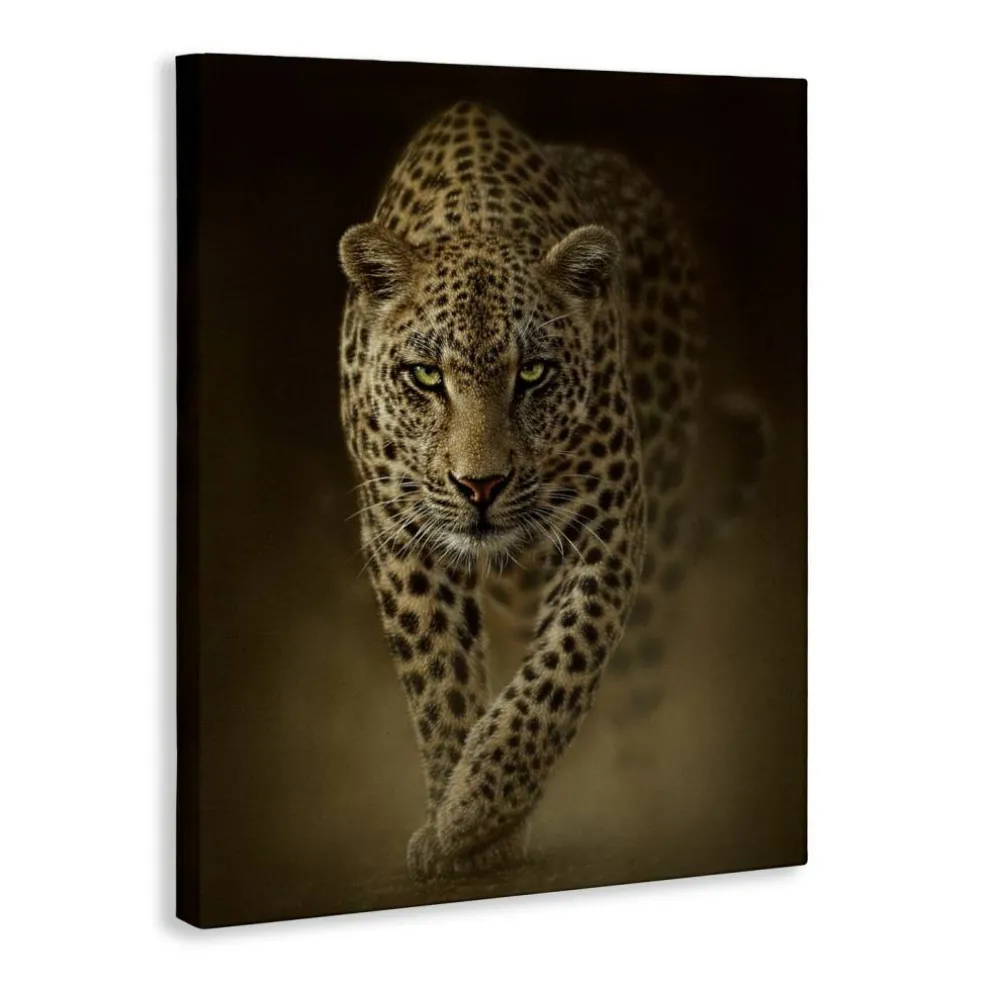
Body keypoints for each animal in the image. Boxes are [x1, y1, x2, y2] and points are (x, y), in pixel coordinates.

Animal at [337, 101, 768, 880]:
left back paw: (641, 801)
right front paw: (457, 824)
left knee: (637, 683)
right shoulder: (398, 530)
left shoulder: (610, 517)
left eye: (533, 373)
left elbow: (561, 671)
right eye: (425, 376)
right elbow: (439, 679)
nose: (480, 486)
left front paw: (479, 813)